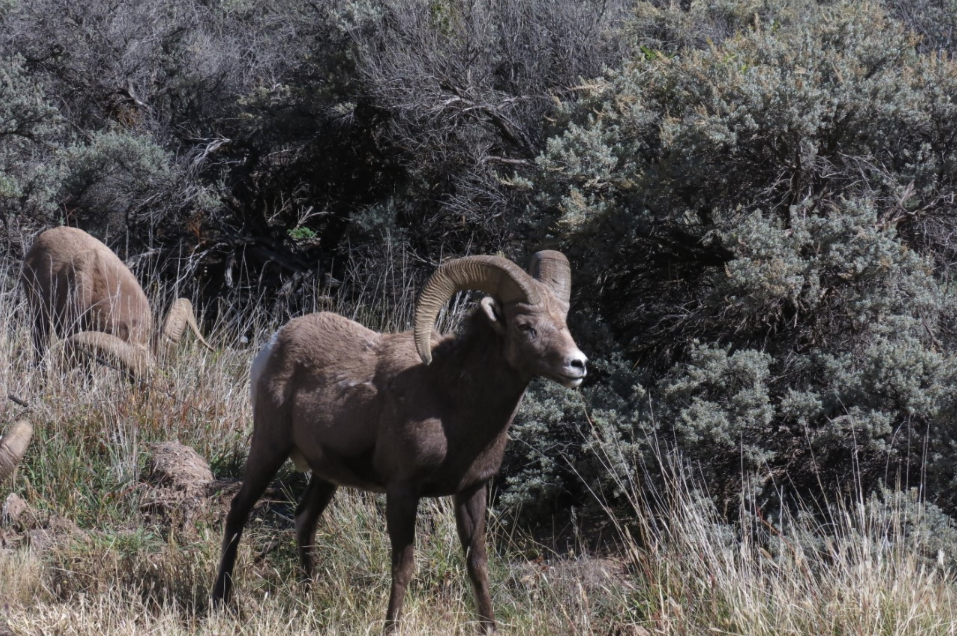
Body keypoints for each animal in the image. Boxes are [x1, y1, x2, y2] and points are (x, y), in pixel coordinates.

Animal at [213, 251, 588, 632]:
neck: (452, 401)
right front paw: (390, 627)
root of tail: (272, 346)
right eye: (525, 326)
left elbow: (478, 564)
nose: (578, 365)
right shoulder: (403, 491)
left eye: (564, 320)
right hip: (269, 449)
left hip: (325, 475)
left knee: (304, 520)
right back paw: (221, 602)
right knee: (238, 512)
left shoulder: (472, 489)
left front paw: (488, 627)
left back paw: (309, 600)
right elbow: (403, 567)